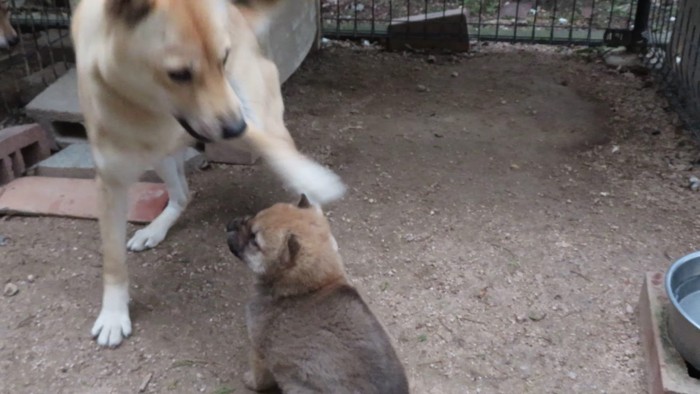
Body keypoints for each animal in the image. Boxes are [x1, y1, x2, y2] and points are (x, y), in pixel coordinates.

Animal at [70, 0, 344, 344]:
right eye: (179, 74)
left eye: (223, 60)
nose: (235, 127)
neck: (148, 110)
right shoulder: (110, 182)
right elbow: (113, 260)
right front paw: (113, 314)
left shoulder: (239, 118)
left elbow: (285, 160)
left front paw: (315, 181)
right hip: (162, 157)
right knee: (181, 195)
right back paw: (155, 229)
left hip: (258, 111)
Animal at [224, 195, 410, 392]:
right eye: (253, 217)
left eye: (254, 240)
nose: (230, 224)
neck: (310, 288)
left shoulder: (258, 348)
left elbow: (260, 377)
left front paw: (250, 381)